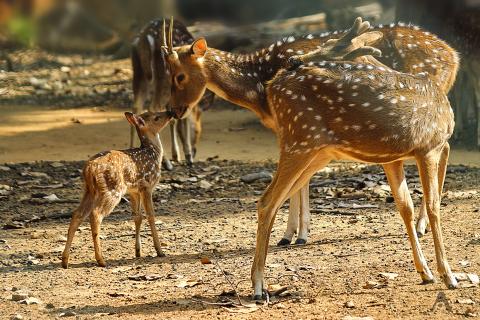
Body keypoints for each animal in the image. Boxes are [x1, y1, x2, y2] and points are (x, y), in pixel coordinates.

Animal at [61, 110, 172, 268]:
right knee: (95, 214)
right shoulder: (147, 185)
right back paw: (100, 260)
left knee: (77, 214)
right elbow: (151, 216)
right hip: (112, 189)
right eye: (156, 117)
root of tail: (89, 169)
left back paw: (65, 261)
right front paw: (160, 251)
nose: (170, 112)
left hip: (89, 191)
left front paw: (138, 252)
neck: (153, 153)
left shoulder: (134, 190)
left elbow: (137, 217)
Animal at [130, 18, 215, 168]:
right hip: (163, 77)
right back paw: (166, 162)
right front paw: (187, 155)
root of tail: (145, 38)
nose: (195, 151)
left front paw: (177, 155)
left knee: (136, 107)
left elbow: (173, 117)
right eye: (197, 131)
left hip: (138, 72)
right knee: (153, 107)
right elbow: (181, 118)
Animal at [162, 17, 462, 298]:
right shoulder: (425, 148)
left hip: (310, 146)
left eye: (179, 76)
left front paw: (427, 272)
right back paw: (259, 285)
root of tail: (454, 55)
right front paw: (448, 276)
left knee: (272, 198)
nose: (172, 110)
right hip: (302, 140)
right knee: (267, 200)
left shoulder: (396, 156)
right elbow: (433, 206)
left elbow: (406, 206)